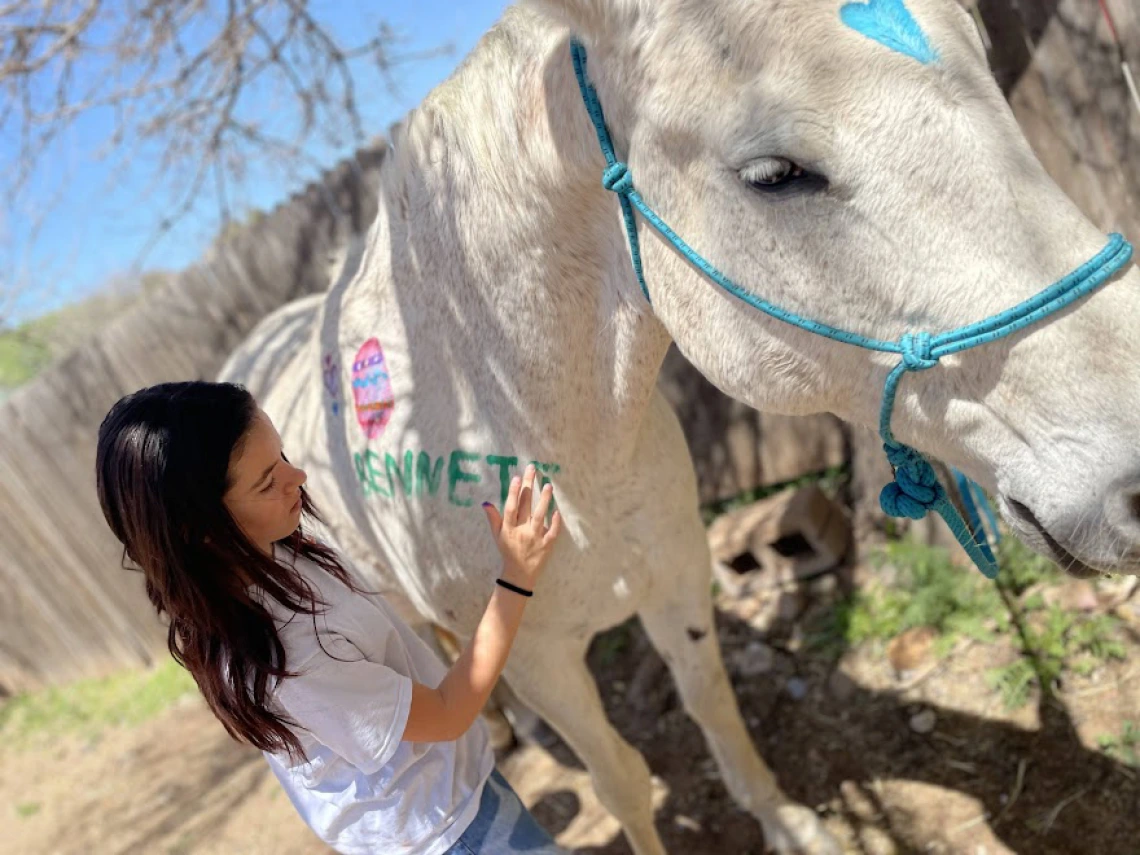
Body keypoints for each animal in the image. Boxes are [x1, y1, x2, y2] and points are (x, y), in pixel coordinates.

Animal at [220, 3, 1140, 852]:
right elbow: (622, 779)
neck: (544, 437)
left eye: (988, 64)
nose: (1132, 479)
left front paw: (786, 820)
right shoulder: (540, 656)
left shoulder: (677, 579)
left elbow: (714, 707)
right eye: (773, 173)